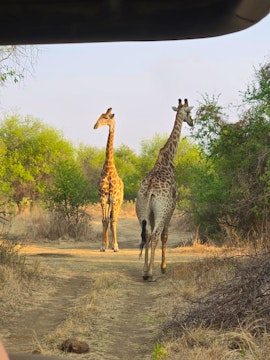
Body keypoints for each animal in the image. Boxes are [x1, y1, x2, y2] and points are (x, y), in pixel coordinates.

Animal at [136, 98, 193, 282]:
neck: (167, 159)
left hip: (142, 209)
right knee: (155, 235)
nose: (192, 122)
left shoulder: (152, 212)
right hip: (162, 209)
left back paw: (145, 272)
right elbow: (165, 236)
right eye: (190, 112)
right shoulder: (172, 207)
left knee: (147, 234)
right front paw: (163, 267)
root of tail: (150, 190)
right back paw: (152, 273)